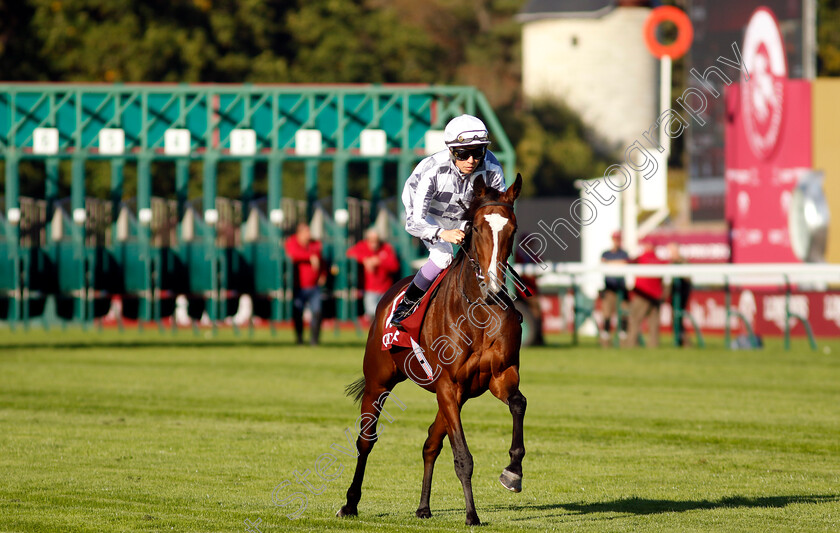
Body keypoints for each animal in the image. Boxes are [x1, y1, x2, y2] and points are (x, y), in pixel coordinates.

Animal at [336, 172, 524, 520]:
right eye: (477, 227)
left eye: (512, 229)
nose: (493, 287)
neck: (478, 311)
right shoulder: (449, 385)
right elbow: (463, 456)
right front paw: (472, 515)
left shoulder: (498, 376)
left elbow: (518, 403)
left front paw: (513, 472)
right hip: (379, 382)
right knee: (366, 441)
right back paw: (350, 503)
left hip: (453, 396)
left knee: (430, 444)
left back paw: (423, 506)